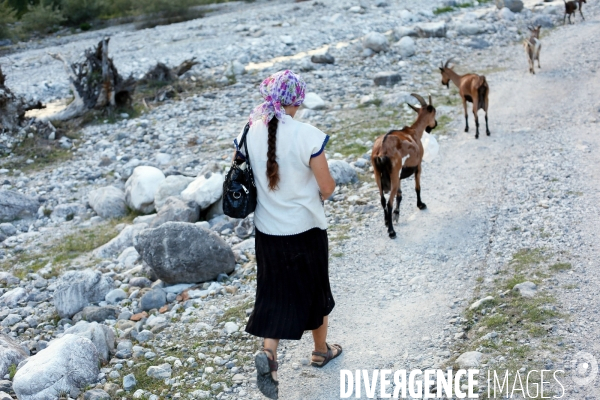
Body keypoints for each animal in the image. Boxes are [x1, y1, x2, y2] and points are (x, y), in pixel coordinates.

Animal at [370, 94, 436, 238]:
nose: (435, 124)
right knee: (389, 202)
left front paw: (396, 215)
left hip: (378, 175)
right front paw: (421, 205)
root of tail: (381, 150)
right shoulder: (418, 165)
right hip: (393, 174)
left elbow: (400, 195)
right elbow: (417, 187)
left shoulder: (399, 175)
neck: (413, 132)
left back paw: (386, 221)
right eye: (434, 112)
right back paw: (391, 231)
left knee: (382, 200)